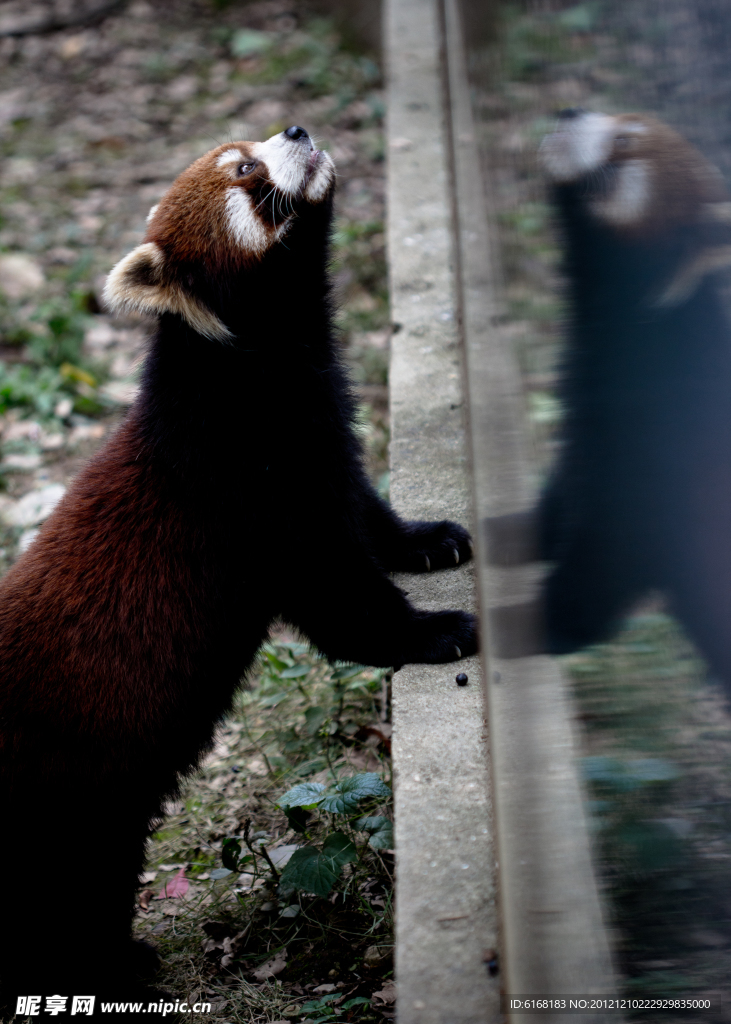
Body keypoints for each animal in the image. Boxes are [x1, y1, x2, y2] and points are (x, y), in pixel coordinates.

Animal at [0, 123, 475, 1011]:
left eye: (248, 142)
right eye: (245, 170)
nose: (294, 129)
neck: (269, 360)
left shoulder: (325, 438)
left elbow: (366, 514)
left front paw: (428, 539)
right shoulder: (246, 487)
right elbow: (337, 597)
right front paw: (434, 630)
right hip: (57, 787)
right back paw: (101, 972)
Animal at [536, 105, 731, 679]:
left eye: (624, 141)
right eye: (615, 114)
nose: (569, 110)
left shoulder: (664, 453)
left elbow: (609, 560)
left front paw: (541, 626)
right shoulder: (588, 408)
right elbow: (567, 489)